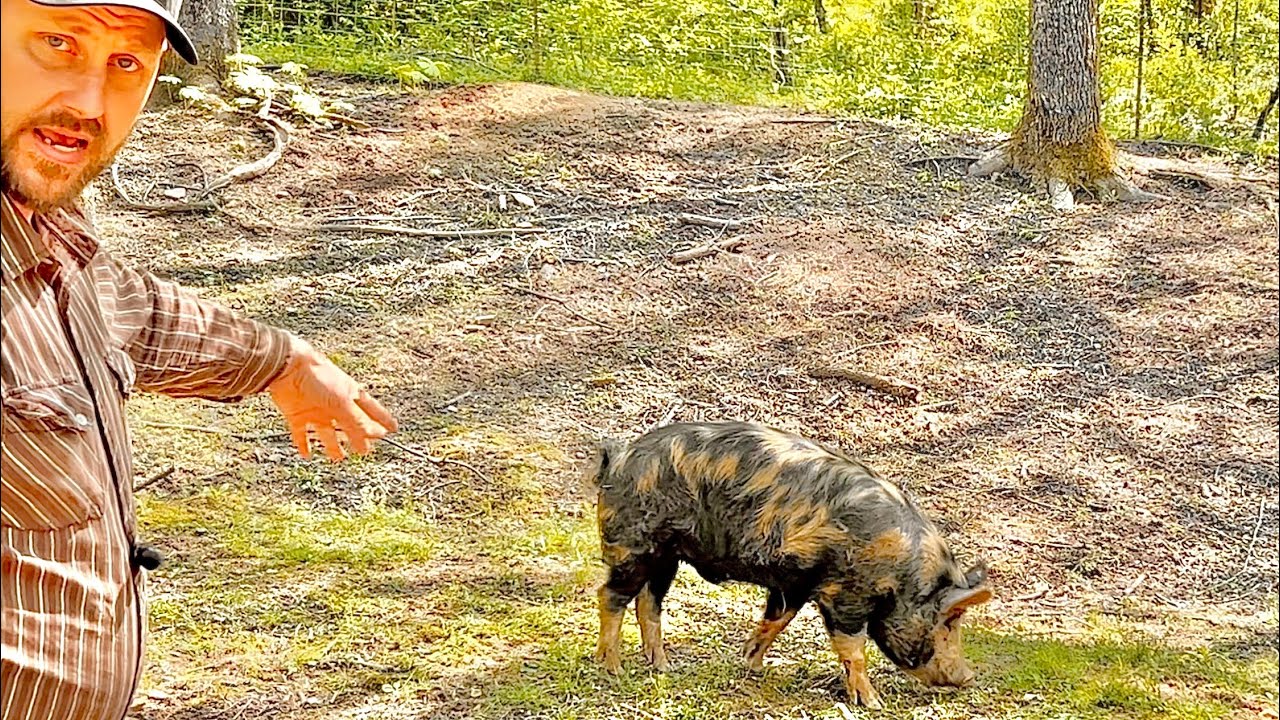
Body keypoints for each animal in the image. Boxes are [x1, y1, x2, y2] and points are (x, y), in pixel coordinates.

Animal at [586, 421, 992, 709]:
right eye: (949, 621)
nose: (969, 676)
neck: (902, 569)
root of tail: (619, 457)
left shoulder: (793, 584)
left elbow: (777, 620)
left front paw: (752, 665)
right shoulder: (843, 594)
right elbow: (853, 647)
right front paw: (872, 703)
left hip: (666, 554)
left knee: (648, 602)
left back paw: (662, 666)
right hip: (633, 545)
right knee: (611, 596)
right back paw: (612, 667)